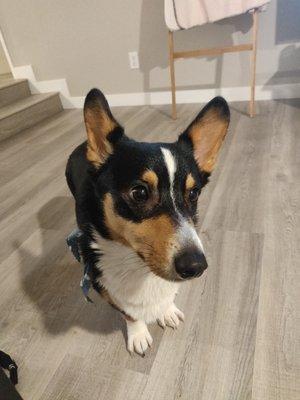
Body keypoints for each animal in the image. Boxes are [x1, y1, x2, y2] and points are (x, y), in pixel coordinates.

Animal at [65, 89, 230, 354]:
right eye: (140, 193)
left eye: (193, 194)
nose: (196, 266)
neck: (138, 265)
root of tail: (84, 145)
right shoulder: (103, 286)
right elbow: (130, 314)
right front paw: (139, 335)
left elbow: (166, 298)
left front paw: (167, 312)